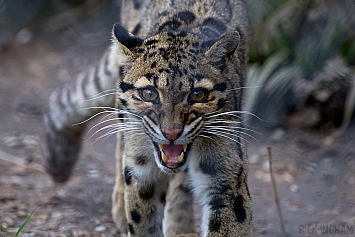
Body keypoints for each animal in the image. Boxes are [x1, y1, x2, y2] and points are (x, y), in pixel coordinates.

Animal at [43, 0, 252, 236]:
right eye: (149, 93)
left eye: (198, 94)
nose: (171, 132)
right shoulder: (141, 172)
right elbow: (141, 219)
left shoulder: (226, 179)